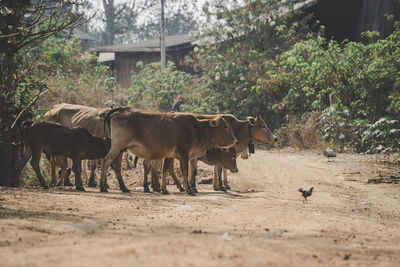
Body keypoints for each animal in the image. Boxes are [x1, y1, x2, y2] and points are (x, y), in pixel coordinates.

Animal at [100, 108, 238, 196]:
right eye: (226, 126)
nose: (236, 141)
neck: (196, 128)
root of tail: (118, 111)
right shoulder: (184, 153)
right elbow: (185, 171)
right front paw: (189, 190)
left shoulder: (170, 155)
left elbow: (165, 170)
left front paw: (164, 189)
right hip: (118, 146)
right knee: (106, 161)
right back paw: (103, 186)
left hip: (120, 149)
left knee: (116, 166)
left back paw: (122, 188)